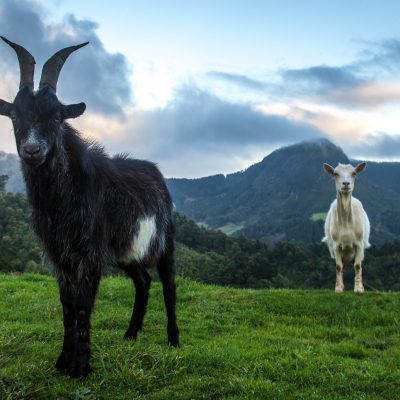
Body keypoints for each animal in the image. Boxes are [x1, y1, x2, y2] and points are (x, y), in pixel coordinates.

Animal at [0, 37, 179, 378]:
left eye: (57, 117)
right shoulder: (60, 255)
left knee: (168, 285)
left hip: (165, 242)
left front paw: (81, 367)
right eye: (14, 115)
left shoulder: (91, 254)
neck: (64, 198)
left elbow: (83, 304)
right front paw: (63, 363)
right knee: (143, 282)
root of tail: (156, 172)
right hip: (127, 251)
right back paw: (130, 334)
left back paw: (174, 341)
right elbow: (67, 304)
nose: (32, 150)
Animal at [324, 163, 370, 294]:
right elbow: (338, 267)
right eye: (335, 173)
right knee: (343, 267)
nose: (346, 184)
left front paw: (358, 288)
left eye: (354, 173)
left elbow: (358, 266)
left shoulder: (359, 244)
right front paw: (338, 288)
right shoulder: (336, 246)